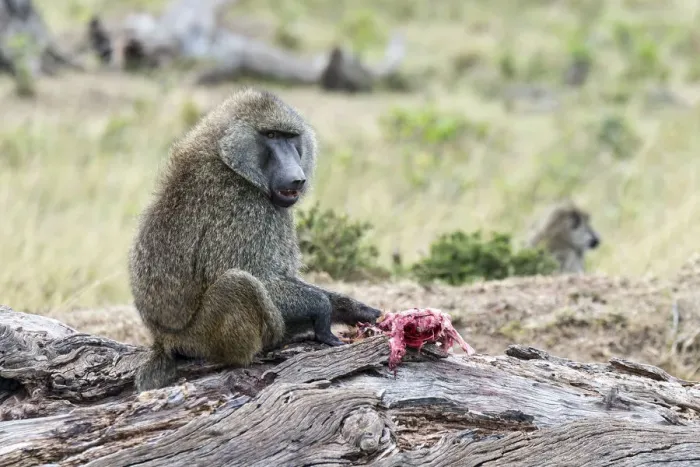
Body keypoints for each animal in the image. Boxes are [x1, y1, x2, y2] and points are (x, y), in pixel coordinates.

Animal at [129, 88, 382, 391]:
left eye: (290, 137)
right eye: (271, 136)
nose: (297, 179)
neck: (228, 160)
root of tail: (163, 338)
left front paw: (358, 311)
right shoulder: (244, 208)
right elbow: (260, 276)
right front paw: (323, 315)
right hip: (199, 338)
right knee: (240, 284)